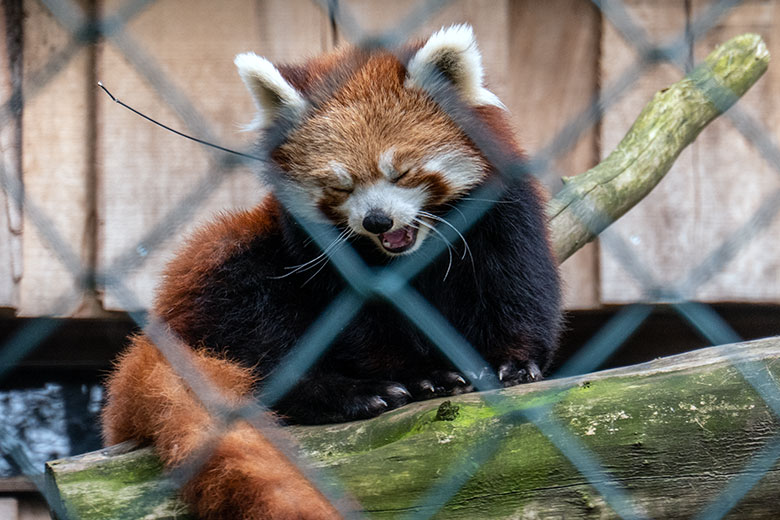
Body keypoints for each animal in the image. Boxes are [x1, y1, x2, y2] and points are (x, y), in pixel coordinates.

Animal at [102, 24, 560, 520]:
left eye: (401, 173)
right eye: (341, 186)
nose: (377, 220)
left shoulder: (500, 217)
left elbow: (516, 287)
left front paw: (514, 361)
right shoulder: (318, 252)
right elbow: (365, 330)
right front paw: (423, 376)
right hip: (225, 266)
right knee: (261, 333)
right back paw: (352, 395)